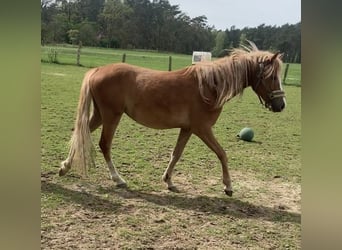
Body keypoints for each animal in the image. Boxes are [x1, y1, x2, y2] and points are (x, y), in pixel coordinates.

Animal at [60, 42, 284, 196]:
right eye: (272, 77)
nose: (281, 105)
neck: (209, 86)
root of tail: (97, 70)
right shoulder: (203, 129)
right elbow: (222, 154)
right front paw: (228, 186)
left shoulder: (188, 129)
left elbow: (176, 154)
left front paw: (168, 181)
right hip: (111, 116)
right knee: (104, 144)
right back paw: (118, 179)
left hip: (100, 115)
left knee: (80, 135)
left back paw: (65, 167)